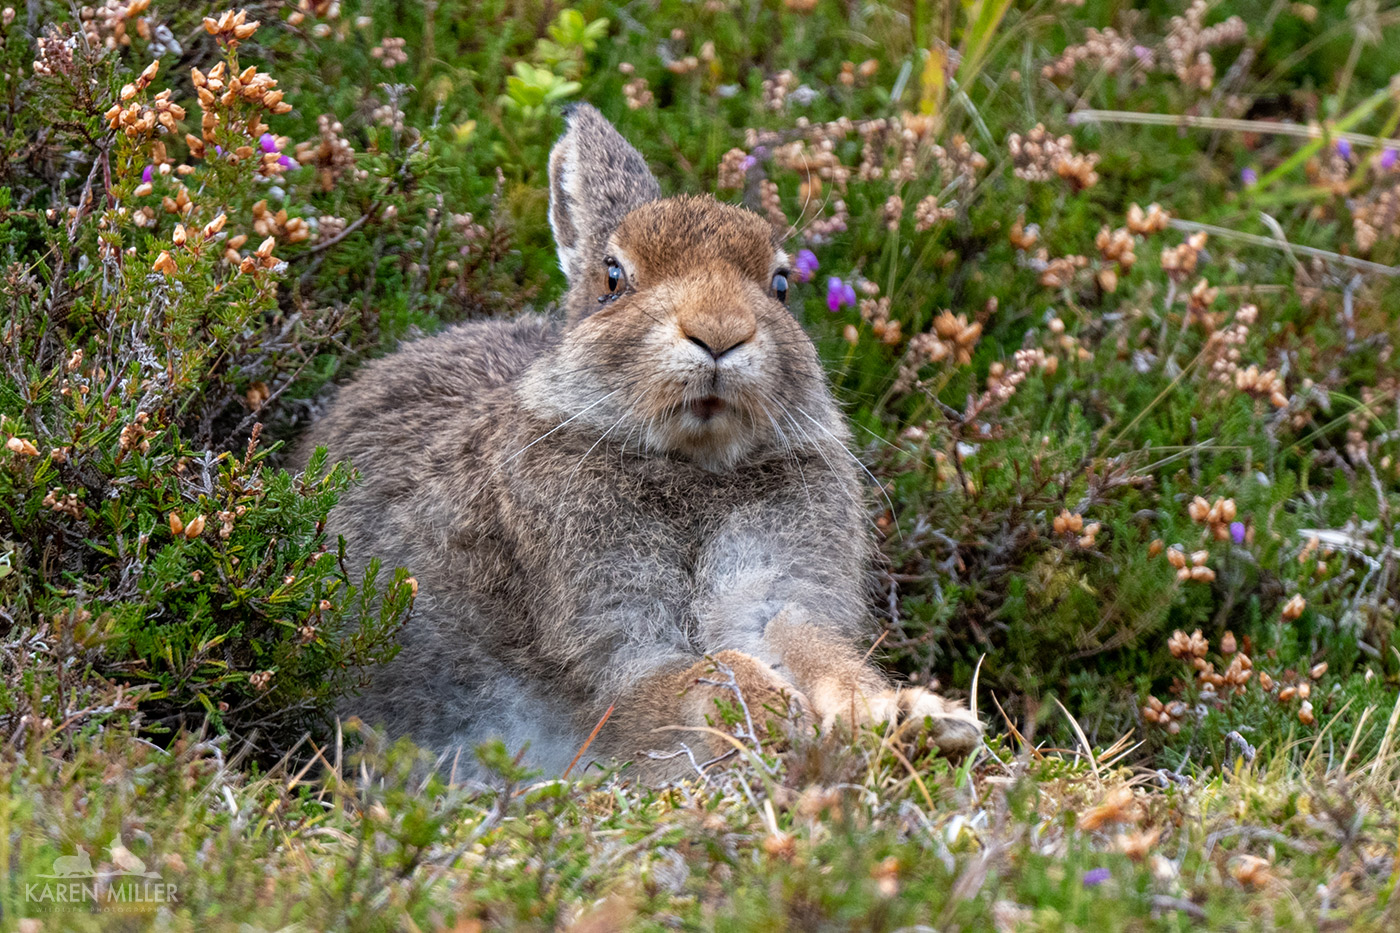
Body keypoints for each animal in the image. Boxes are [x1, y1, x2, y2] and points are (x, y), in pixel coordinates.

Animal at [296, 103, 982, 782]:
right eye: (613, 278)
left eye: (781, 285)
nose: (719, 331)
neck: (693, 466)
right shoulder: (609, 639)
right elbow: (705, 672)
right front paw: (778, 716)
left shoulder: (778, 587)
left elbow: (811, 647)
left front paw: (908, 716)